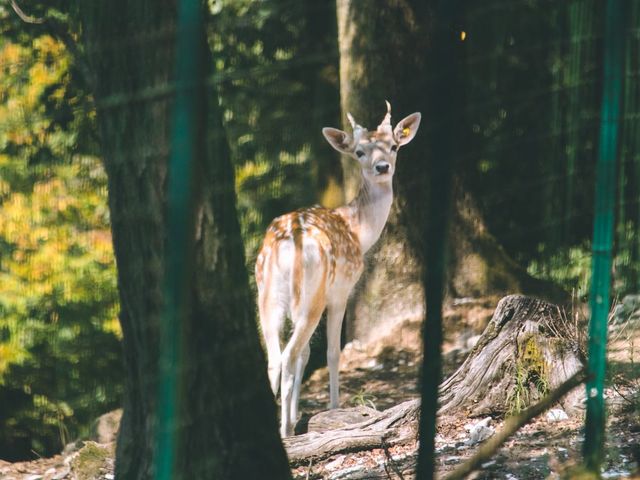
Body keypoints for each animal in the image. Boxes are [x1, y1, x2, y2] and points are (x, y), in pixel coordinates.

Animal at [255, 103, 420, 436]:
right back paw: (286, 430)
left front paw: (297, 415)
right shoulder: (341, 291)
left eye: (394, 146)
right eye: (359, 151)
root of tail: (287, 245)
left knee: (276, 359)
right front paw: (332, 409)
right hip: (314, 294)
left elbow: (307, 355)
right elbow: (332, 353)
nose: (382, 167)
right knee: (290, 355)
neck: (358, 232)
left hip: (265, 295)